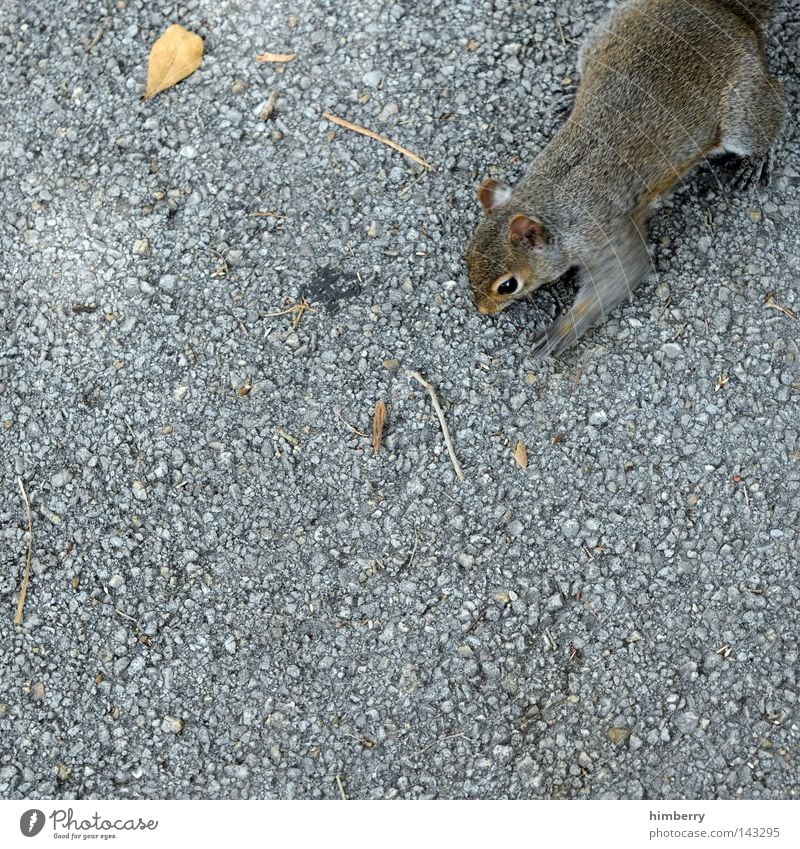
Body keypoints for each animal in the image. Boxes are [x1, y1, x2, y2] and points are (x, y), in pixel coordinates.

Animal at [466, 0, 784, 358]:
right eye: (467, 256)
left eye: (508, 285)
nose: (482, 309)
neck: (551, 200)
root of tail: (730, 14)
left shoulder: (607, 232)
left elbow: (621, 276)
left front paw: (565, 328)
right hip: (604, 32)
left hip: (741, 111)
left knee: (771, 109)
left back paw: (757, 160)